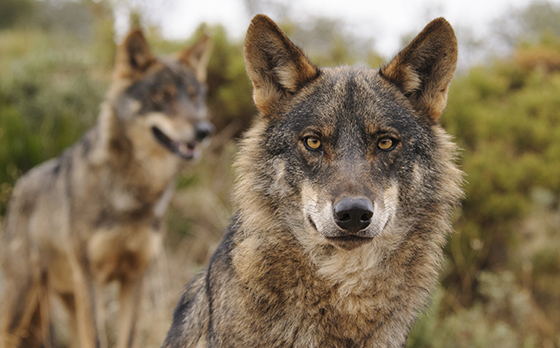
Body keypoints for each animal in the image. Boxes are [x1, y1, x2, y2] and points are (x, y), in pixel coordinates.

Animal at [0, 29, 213, 348]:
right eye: (161, 96)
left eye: (194, 96)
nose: (204, 131)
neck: (133, 194)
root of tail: (19, 186)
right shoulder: (92, 279)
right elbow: (99, 339)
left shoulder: (135, 278)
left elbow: (127, 338)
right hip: (22, 305)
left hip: (65, 302)